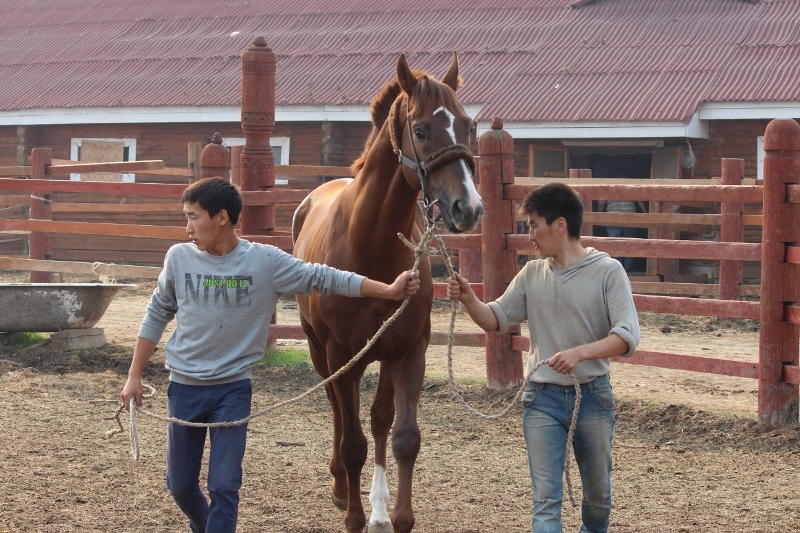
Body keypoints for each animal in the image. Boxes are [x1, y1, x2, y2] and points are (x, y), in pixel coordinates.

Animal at [294, 51, 482, 532]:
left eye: (468, 124)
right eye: (421, 130)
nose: (469, 208)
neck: (371, 246)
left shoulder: (409, 349)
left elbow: (403, 437)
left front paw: (397, 516)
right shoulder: (342, 353)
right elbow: (353, 442)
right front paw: (354, 515)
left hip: (382, 355)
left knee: (379, 419)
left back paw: (377, 506)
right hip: (321, 350)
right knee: (338, 413)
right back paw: (342, 486)